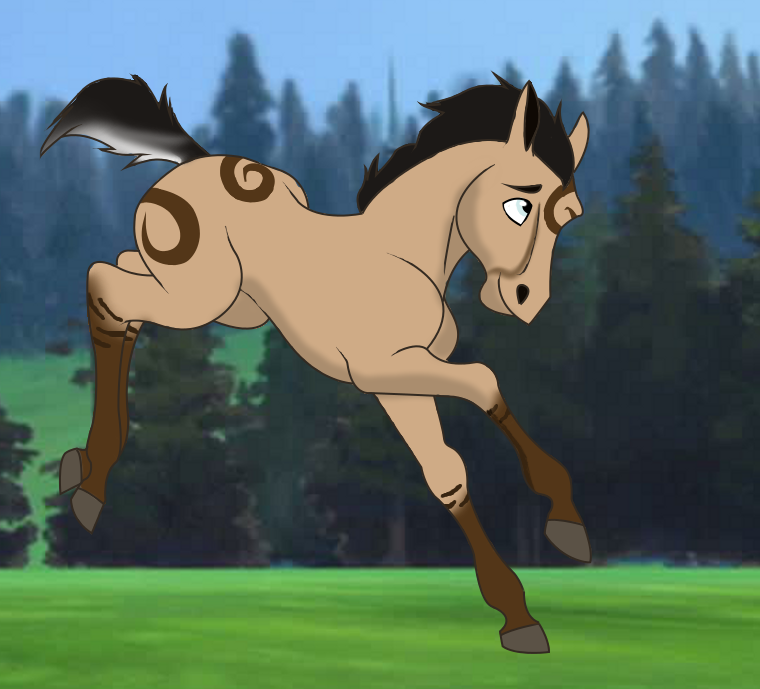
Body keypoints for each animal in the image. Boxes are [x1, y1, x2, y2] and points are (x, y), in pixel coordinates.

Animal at [40, 72, 590, 654]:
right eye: (519, 206)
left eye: (570, 216)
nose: (526, 301)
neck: (404, 258)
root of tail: (195, 162)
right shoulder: (381, 369)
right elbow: (483, 382)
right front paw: (548, 559)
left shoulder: (400, 383)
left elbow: (446, 473)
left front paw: (528, 599)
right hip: (199, 298)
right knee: (104, 283)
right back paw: (92, 482)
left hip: (222, 305)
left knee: (121, 286)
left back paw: (83, 468)